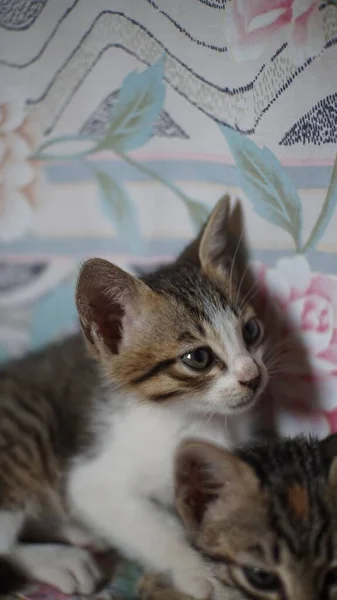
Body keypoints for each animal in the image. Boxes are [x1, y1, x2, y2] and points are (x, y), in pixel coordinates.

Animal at [0, 196, 268, 596]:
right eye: (199, 358)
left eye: (251, 331)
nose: (253, 377)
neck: (191, 418)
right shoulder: (91, 481)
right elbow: (156, 528)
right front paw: (201, 571)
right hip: (27, 430)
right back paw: (60, 561)